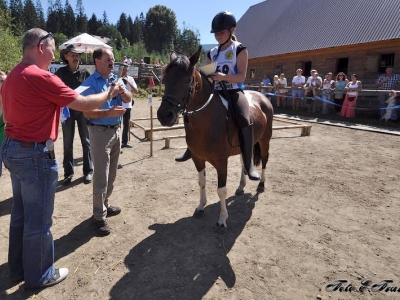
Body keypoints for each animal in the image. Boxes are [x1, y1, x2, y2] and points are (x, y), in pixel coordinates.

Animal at [158, 46, 274, 227]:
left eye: (187, 80)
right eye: (165, 80)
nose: (164, 115)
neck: (209, 120)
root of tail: (262, 97)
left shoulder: (221, 161)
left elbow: (221, 190)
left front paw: (222, 219)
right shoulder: (197, 158)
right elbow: (201, 182)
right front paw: (200, 207)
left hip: (264, 140)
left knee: (264, 159)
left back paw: (260, 184)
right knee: (244, 161)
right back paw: (241, 186)